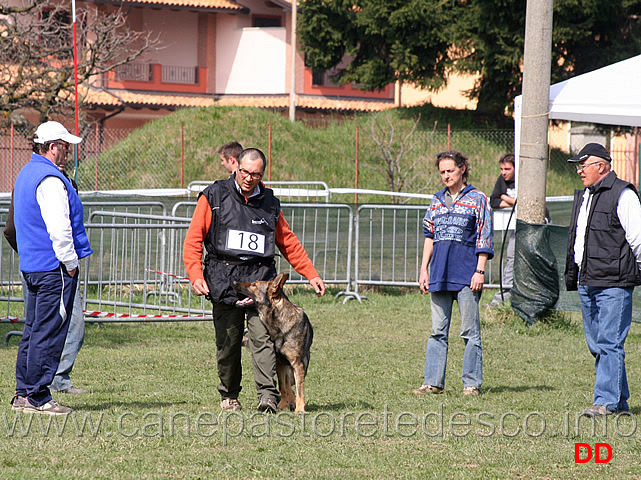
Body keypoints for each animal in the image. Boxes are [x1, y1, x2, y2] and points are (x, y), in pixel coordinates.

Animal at [235, 274, 316, 412]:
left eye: (254, 284)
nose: (234, 282)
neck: (279, 323)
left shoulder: (297, 365)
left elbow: (300, 390)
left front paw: (300, 409)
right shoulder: (279, 363)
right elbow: (282, 387)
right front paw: (283, 405)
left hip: (297, 371)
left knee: (293, 385)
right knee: (287, 386)